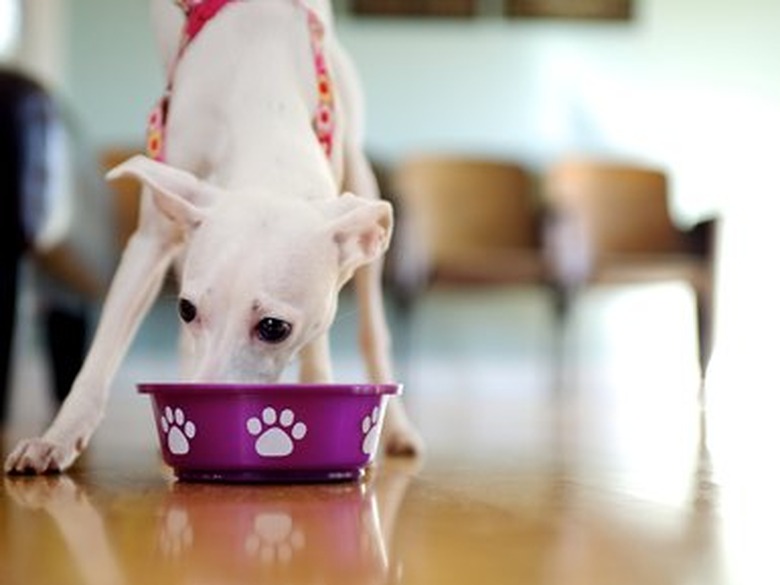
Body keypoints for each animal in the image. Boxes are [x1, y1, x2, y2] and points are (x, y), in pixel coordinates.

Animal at [4, 0, 420, 472]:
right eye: (186, 309)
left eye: (274, 327)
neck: (262, 97)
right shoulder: (151, 240)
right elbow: (99, 357)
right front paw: (55, 438)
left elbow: (319, 350)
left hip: (358, 171)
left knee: (372, 331)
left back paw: (399, 428)